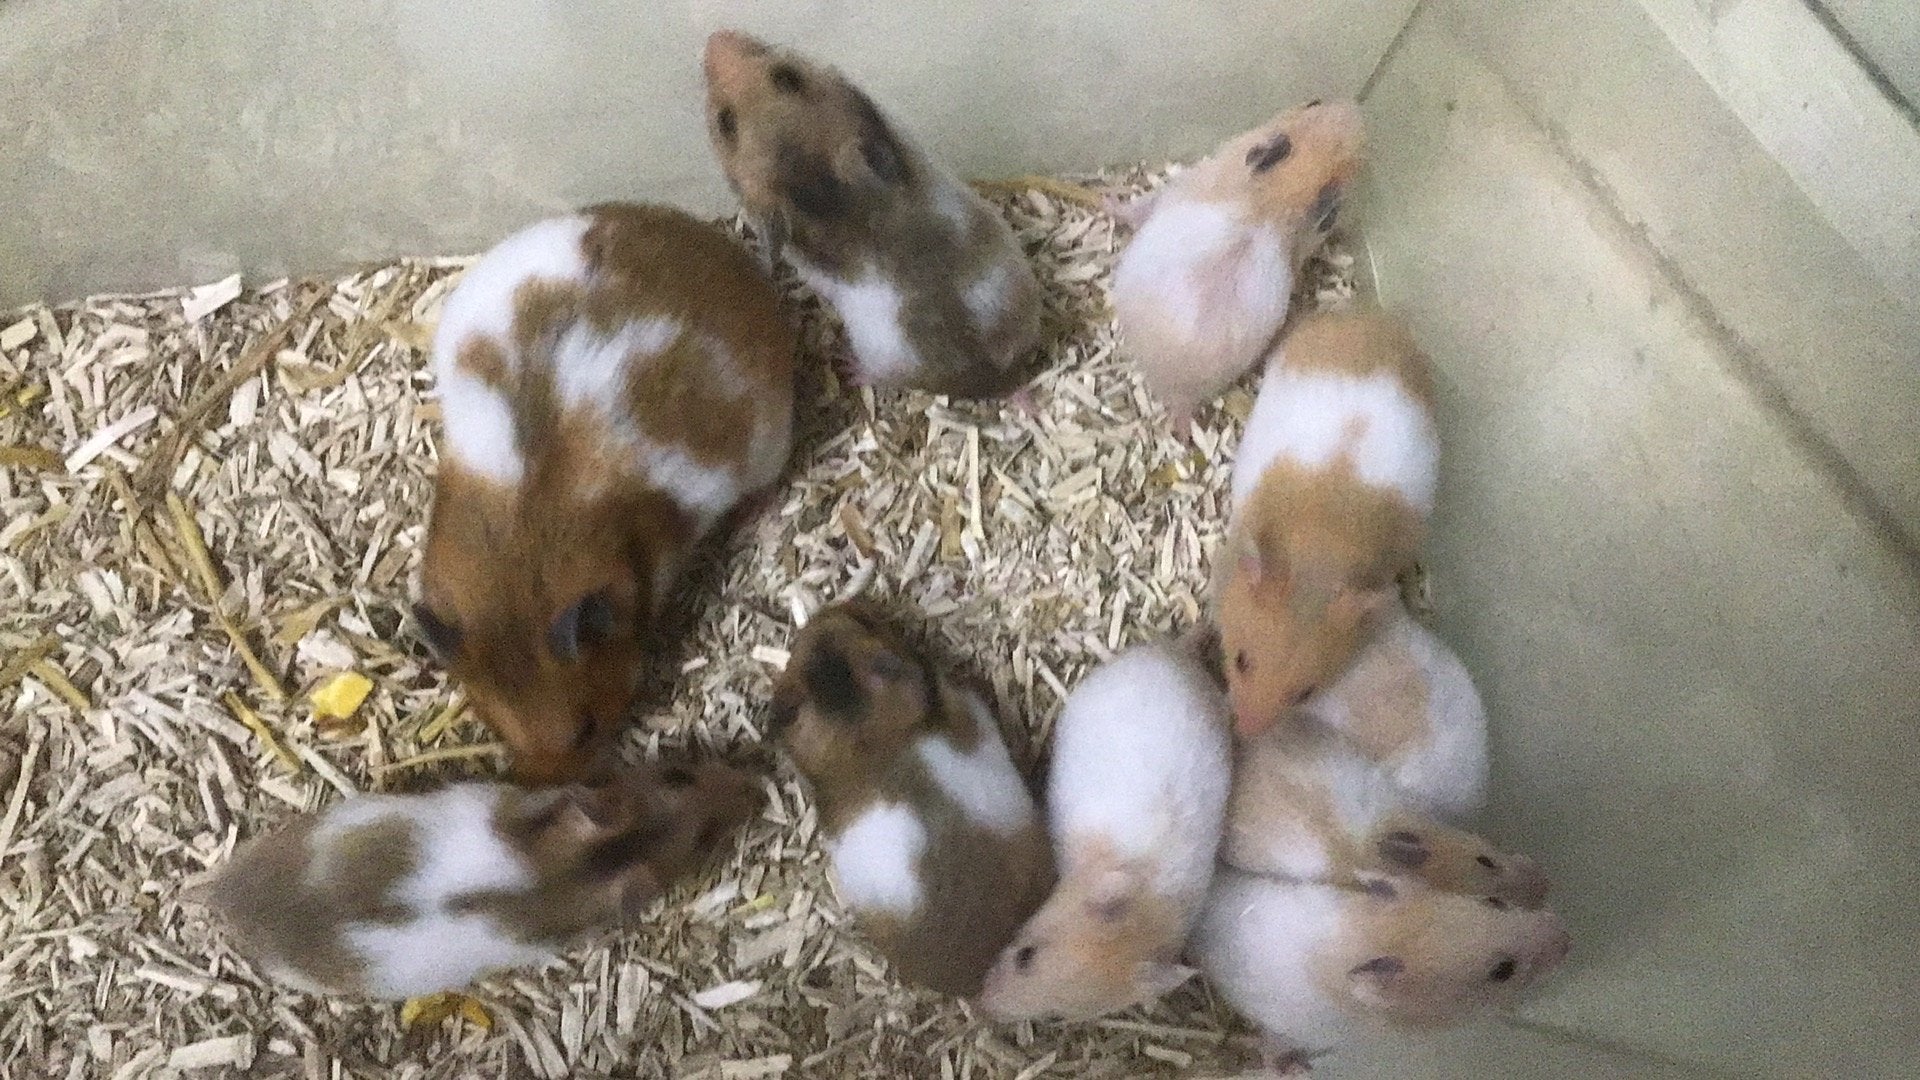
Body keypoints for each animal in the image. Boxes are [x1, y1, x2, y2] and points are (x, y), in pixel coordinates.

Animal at [702, 30, 1044, 399]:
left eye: (787, 77)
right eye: (726, 121)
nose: (714, 37)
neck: (819, 185)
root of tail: (1003, 381)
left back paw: (850, 367)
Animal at [1191, 869, 1571, 1074]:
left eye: (1495, 901)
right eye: (1502, 970)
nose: (1568, 938)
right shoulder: (1290, 1030)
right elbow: (1273, 1051)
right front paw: (1299, 1070)